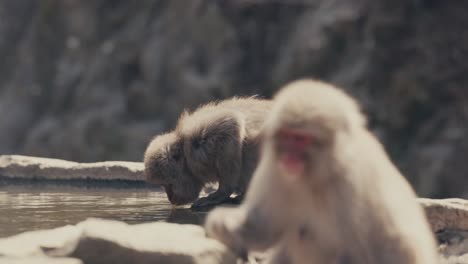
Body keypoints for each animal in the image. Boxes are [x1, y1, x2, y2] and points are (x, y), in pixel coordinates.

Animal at [144, 96, 272, 208]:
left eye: (167, 184)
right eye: (163, 185)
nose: (170, 198)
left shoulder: (198, 138)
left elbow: (232, 123)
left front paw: (222, 192)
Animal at [205, 80, 438, 264]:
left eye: (301, 139)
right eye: (287, 136)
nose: (289, 157)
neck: (314, 176)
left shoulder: (348, 189)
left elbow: (356, 249)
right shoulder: (276, 172)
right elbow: (265, 228)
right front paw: (221, 226)